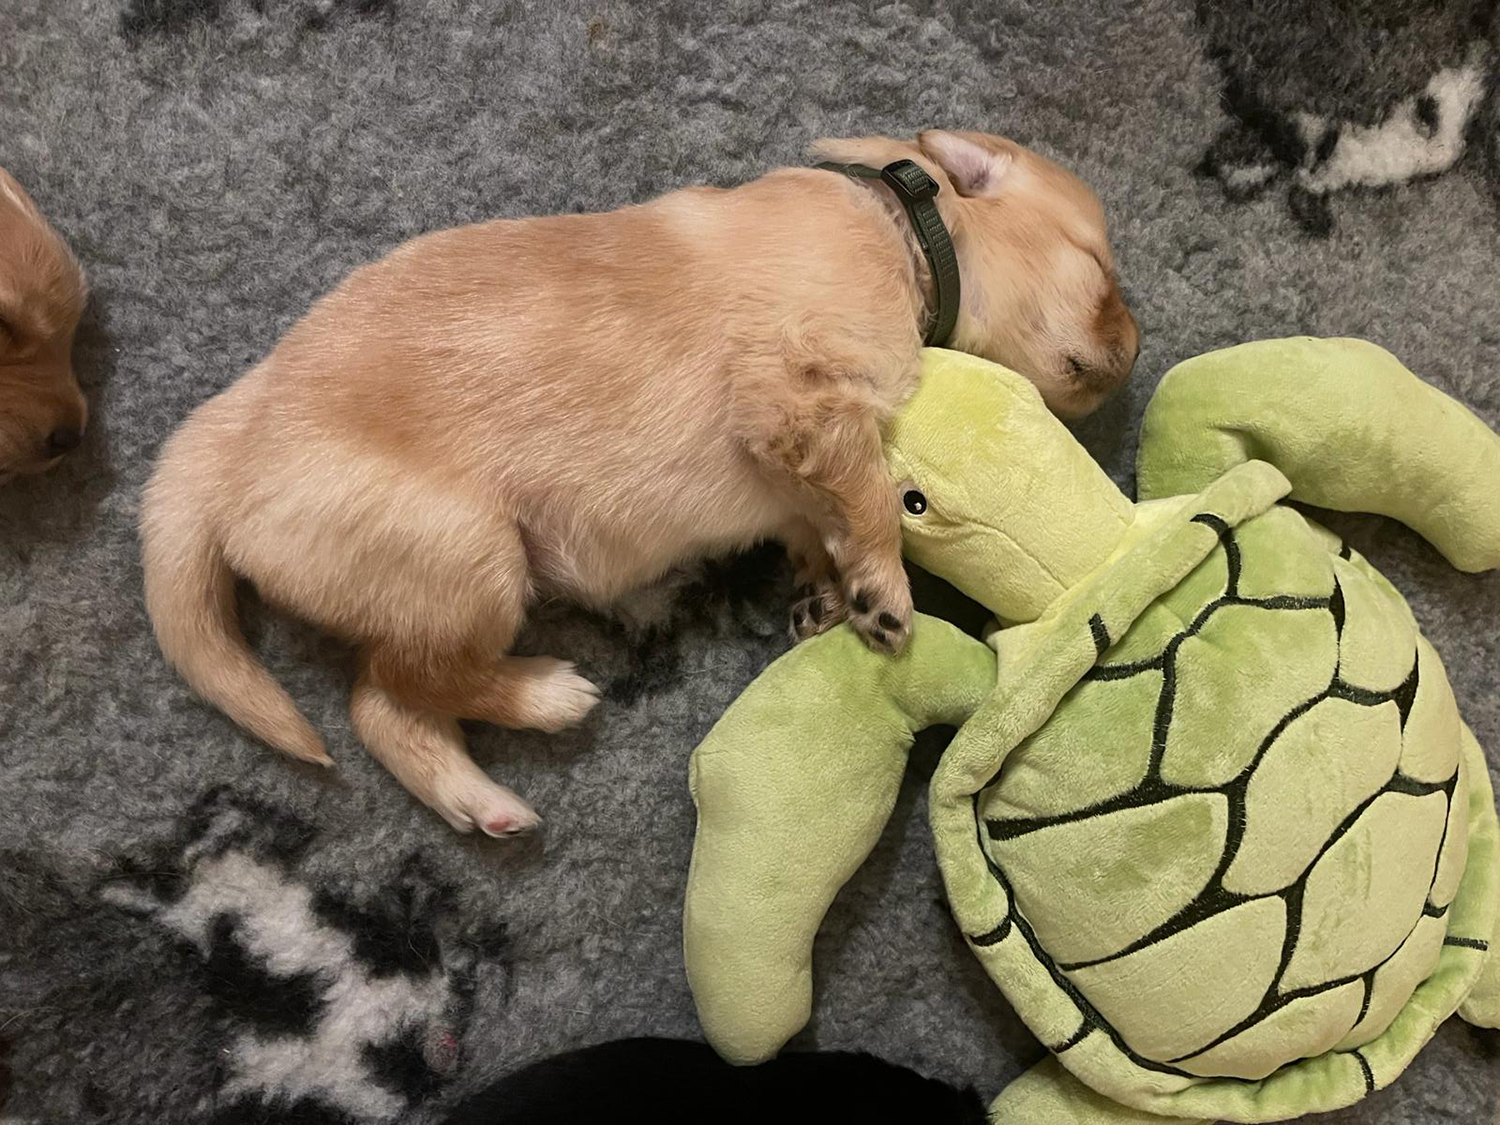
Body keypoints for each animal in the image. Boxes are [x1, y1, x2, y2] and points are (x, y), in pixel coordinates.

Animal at [142, 129, 1137, 835]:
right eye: (1100, 269)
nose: (1134, 350)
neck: (909, 229)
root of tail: (225, 442)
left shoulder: (791, 463)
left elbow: (816, 520)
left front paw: (823, 588)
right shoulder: (801, 397)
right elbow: (866, 501)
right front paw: (882, 593)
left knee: (384, 705)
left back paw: (483, 804)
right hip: (469, 553)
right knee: (405, 678)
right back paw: (547, 696)